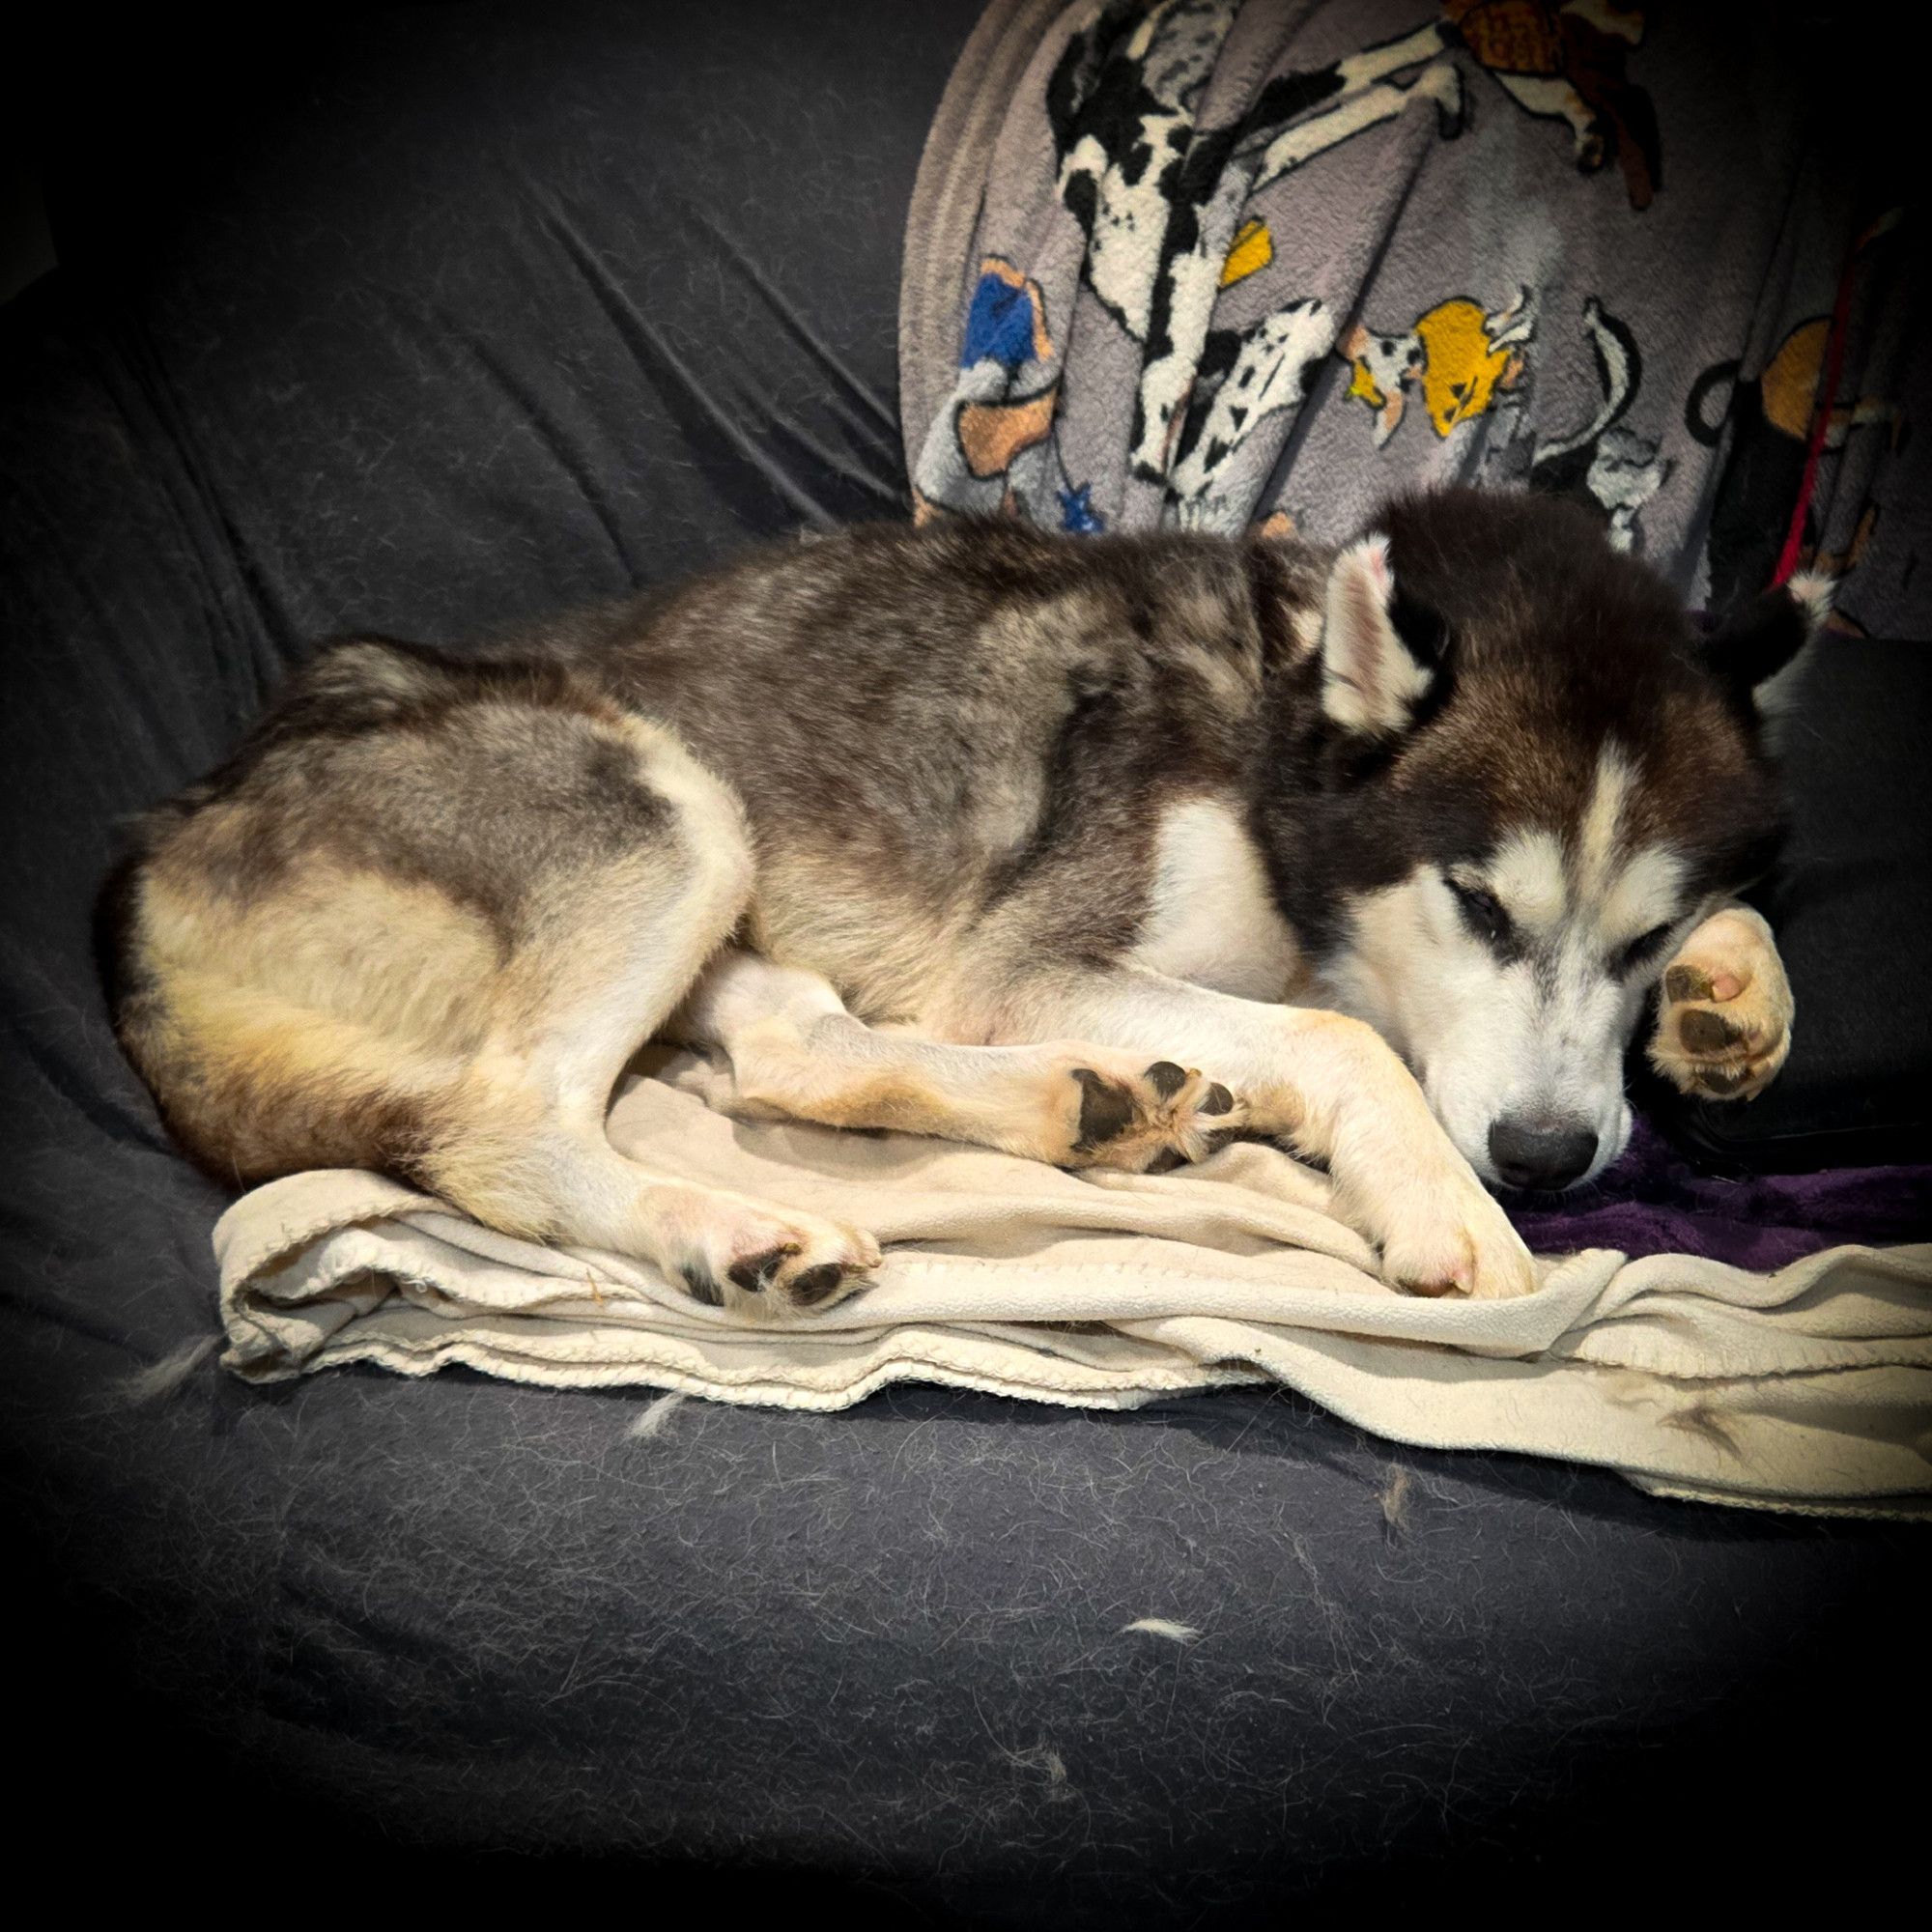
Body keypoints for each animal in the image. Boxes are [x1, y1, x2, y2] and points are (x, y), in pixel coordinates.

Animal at [101, 487, 1824, 1314]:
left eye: (1642, 933)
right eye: (1479, 903)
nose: (1548, 1160)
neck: (1272, 730)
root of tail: (166, 833)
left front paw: (1730, 991)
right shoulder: (1029, 963)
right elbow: (1347, 1042)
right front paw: (1450, 1205)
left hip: (726, 902)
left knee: (795, 1050)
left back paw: (1086, 1105)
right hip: (671, 812)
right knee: (504, 1124)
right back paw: (729, 1227)